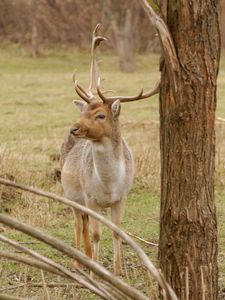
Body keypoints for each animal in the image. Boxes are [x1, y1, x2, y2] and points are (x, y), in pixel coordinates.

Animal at [59, 24, 158, 276]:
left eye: (101, 115)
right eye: (85, 111)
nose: (74, 128)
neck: (108, 184)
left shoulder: (122, 196)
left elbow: (116, 232)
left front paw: (118, 271)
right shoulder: (89, 196)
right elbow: (95, 233)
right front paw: (96, 272)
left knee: (84, 222)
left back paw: (86, 258)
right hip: (70, 193)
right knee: (79, 222)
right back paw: (79, 262)